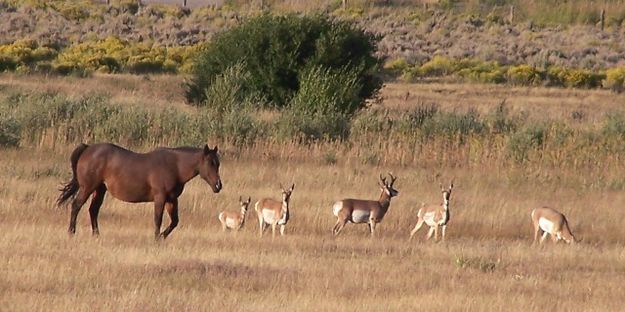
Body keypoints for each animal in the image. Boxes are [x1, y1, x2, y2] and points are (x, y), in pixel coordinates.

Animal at [56, 143, 222, 240]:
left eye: (218, 163)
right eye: (210, 163)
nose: (218, 185)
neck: (174, 166)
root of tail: (88, 148)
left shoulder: (171, 199)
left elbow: (174, 221)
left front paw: (162, 237)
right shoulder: (160, 198)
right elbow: (158, 219)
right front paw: (157, 238)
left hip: (100, 189)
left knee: (93, 210)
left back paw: (96, 235)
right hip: (88, 187)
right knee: (76, 206)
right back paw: (71, 232)